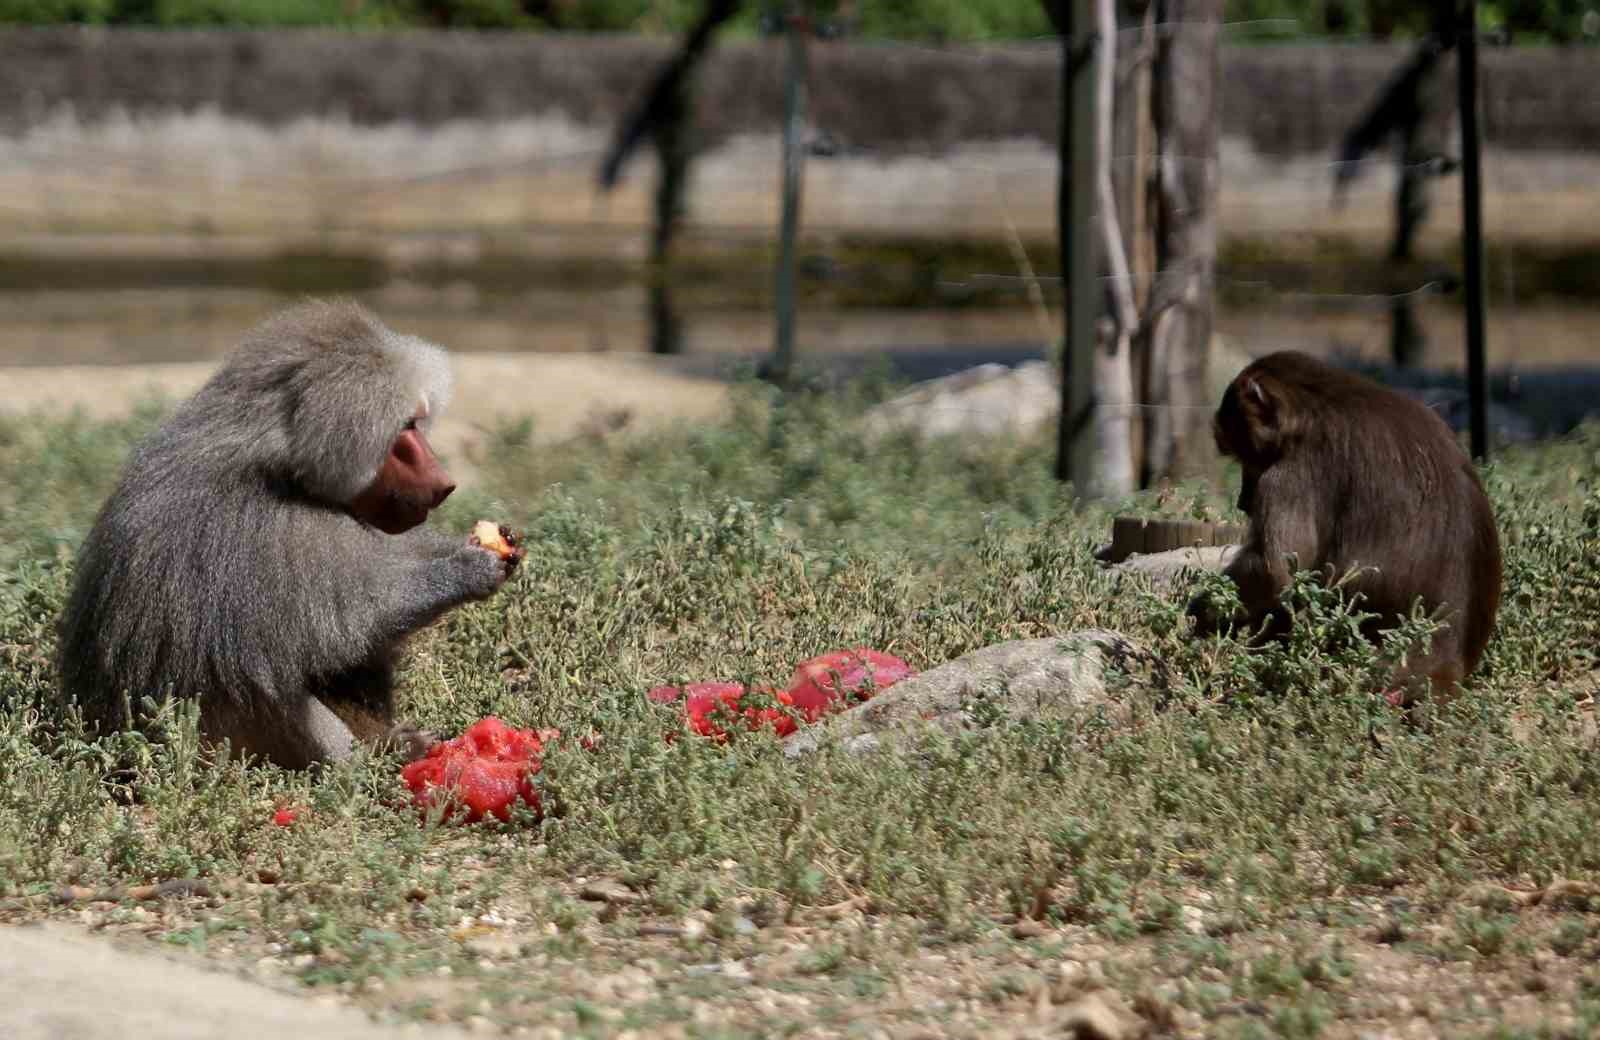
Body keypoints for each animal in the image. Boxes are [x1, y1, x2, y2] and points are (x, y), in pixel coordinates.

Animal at [59, 296, 524, 764]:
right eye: (406, 429)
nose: (445, 484)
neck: (278, 462)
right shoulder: (270, 530)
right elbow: (350, 620)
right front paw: (470, 569)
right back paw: (368, 762)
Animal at [1196, 352, 1504, 700]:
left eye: (1245, 458)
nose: (1242, 500)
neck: (1317, 403)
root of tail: (1448, 662)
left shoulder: (1291, 473)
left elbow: (1273, 570)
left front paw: (1200, 612)